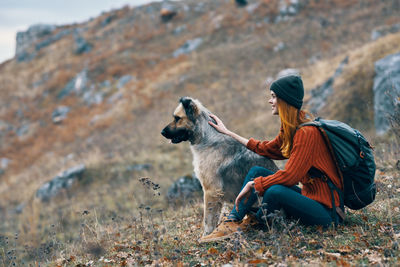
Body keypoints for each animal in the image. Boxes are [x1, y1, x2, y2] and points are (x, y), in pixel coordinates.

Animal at [160, 97, 278, 236]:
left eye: (177, 118)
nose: (162, 132)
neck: (206, 138)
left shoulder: (211, 190)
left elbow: (208, 218)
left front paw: (207, 235)